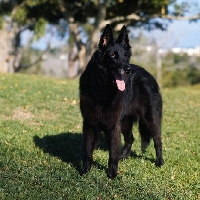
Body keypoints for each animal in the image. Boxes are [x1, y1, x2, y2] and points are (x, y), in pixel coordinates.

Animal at [79, 23, 163, 178]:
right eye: (113, 56)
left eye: (126, 56)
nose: (128, 70)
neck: (103, 87)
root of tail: (149, 75)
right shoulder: (89, 123)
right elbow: (88, 151)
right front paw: (85, 170)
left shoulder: (113, 125)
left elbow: (112, 153)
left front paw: (112, 175)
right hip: (124, 122)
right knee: (130, 139)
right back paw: (123, 156)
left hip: (150, 120)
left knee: (158, 140)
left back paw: (160, 162)